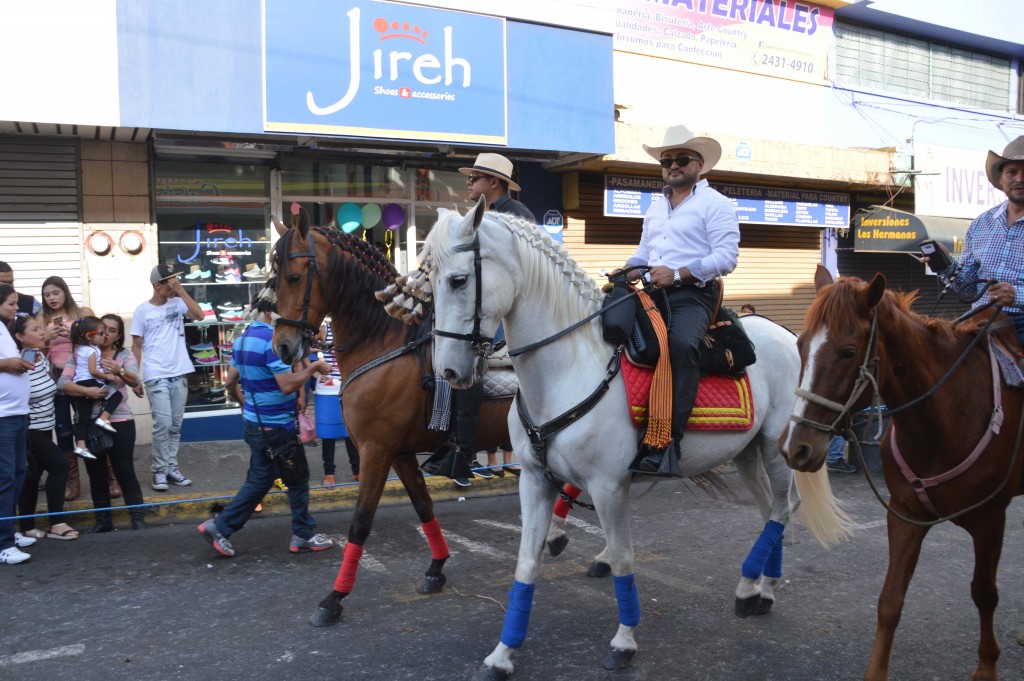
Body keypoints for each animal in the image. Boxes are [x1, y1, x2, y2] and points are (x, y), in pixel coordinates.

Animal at [270, 215, 516, 622]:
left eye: (293, 277)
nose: (283, 347)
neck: (382, 341)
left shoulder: (375, 450)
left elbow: (360, 522)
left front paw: (334, 597)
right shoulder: (398, 453)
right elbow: (423, 506)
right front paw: (436, 568)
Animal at [428, 196, 835, 675]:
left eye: (458, 280)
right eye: (430, 280)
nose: (448, 370)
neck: (569, 366)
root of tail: (788, 335)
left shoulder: (609, 487)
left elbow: (623, 558)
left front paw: (624, 641)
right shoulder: (534, 480)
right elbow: (527, 564)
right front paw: (503, 653)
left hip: (775, 449)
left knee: (783, 509)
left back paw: (758, 588)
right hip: (746, 453)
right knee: (772, 509)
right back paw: (757, 586)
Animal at [778, 266, 1019, 679]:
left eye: (848, 352)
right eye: (801, 346)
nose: (797, 447)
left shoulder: (991, 518)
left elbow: (984, 593)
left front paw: (987, 664)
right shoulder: (905, 515)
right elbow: (889, 600)